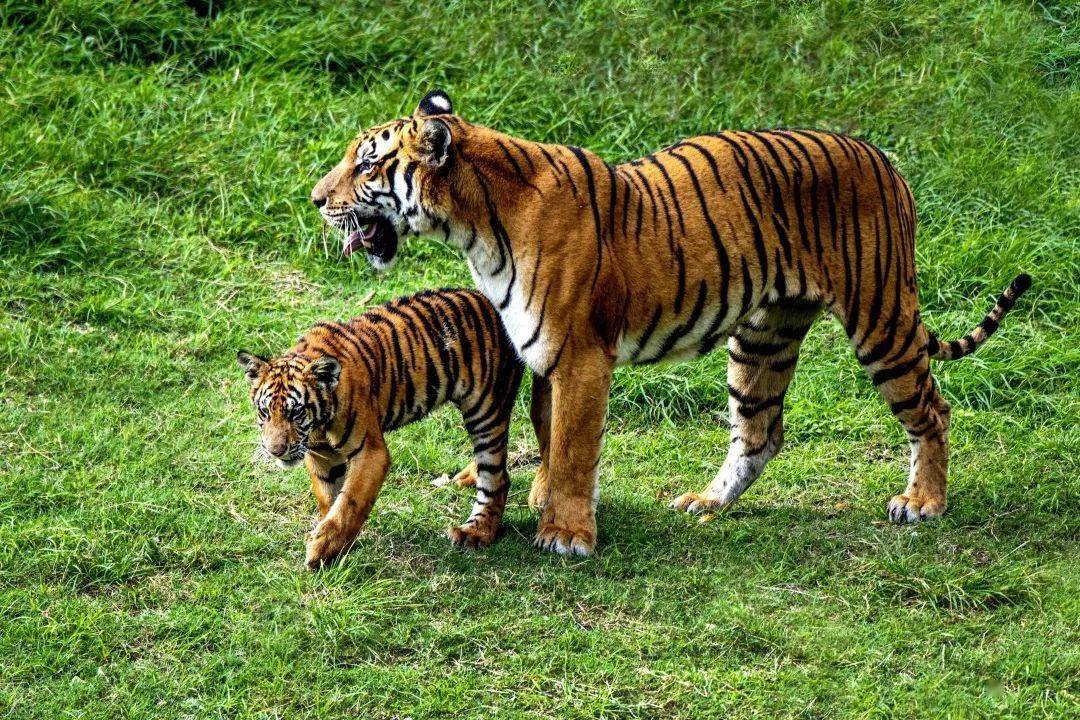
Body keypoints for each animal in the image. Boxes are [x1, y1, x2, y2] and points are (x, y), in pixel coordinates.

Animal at [237, 287, 522, 569]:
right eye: (265, 412)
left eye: (295, 412)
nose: (275, 451)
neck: (319, 423)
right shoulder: (321, 455)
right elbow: (329, 498)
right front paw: (330, 541)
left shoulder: (370, 452)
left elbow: (349, 501)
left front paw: (322, 548)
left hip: (486, 410)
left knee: (497, 477)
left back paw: (475, 533)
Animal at [311, 90, 1028, 557]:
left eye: (367, 164)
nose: (316, 200)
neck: (472, 225)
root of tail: (883, 157)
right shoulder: (542, 352)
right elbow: (547, 435)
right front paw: (545, 505)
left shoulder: (581, 354)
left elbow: (573, 447)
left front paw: (566, 535)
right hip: (760, 339)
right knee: (760, 433)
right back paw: (706, 503)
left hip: (879, 317)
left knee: (932, 410)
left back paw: (924, 502)